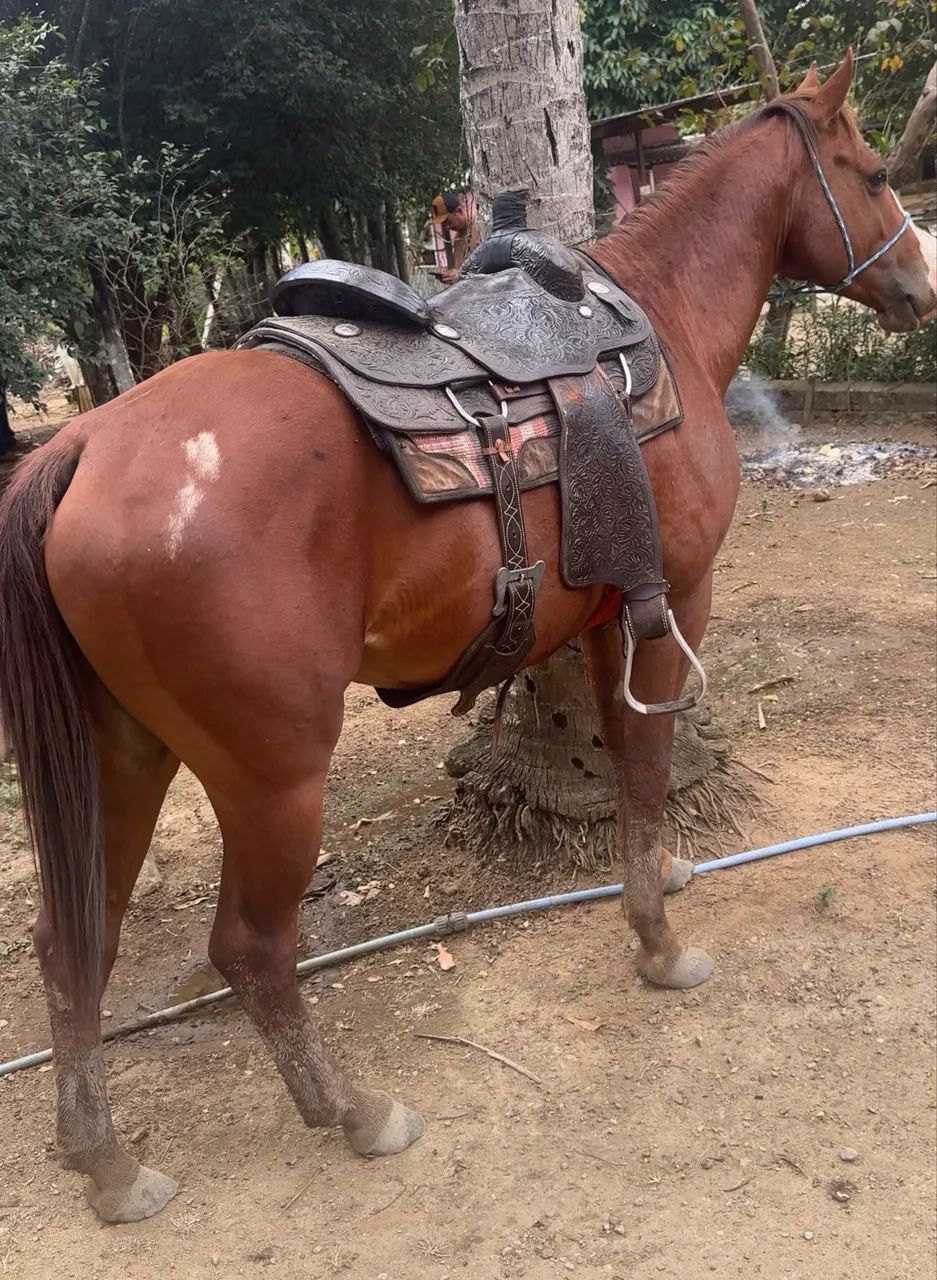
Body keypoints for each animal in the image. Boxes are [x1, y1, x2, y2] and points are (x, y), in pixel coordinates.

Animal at [0, 54, 933, 1224]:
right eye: (872, 173)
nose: (923, 285)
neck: (659, 316)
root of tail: (81, 443)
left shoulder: (603, 620)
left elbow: (628, 761)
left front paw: (656, 883)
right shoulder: (673, 600)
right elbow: (642, 765)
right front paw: (658, 944)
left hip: (121, 754)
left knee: (74, 940)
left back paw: (107, 1162)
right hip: (272, 774)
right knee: (250, 947)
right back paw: (354, 1111)